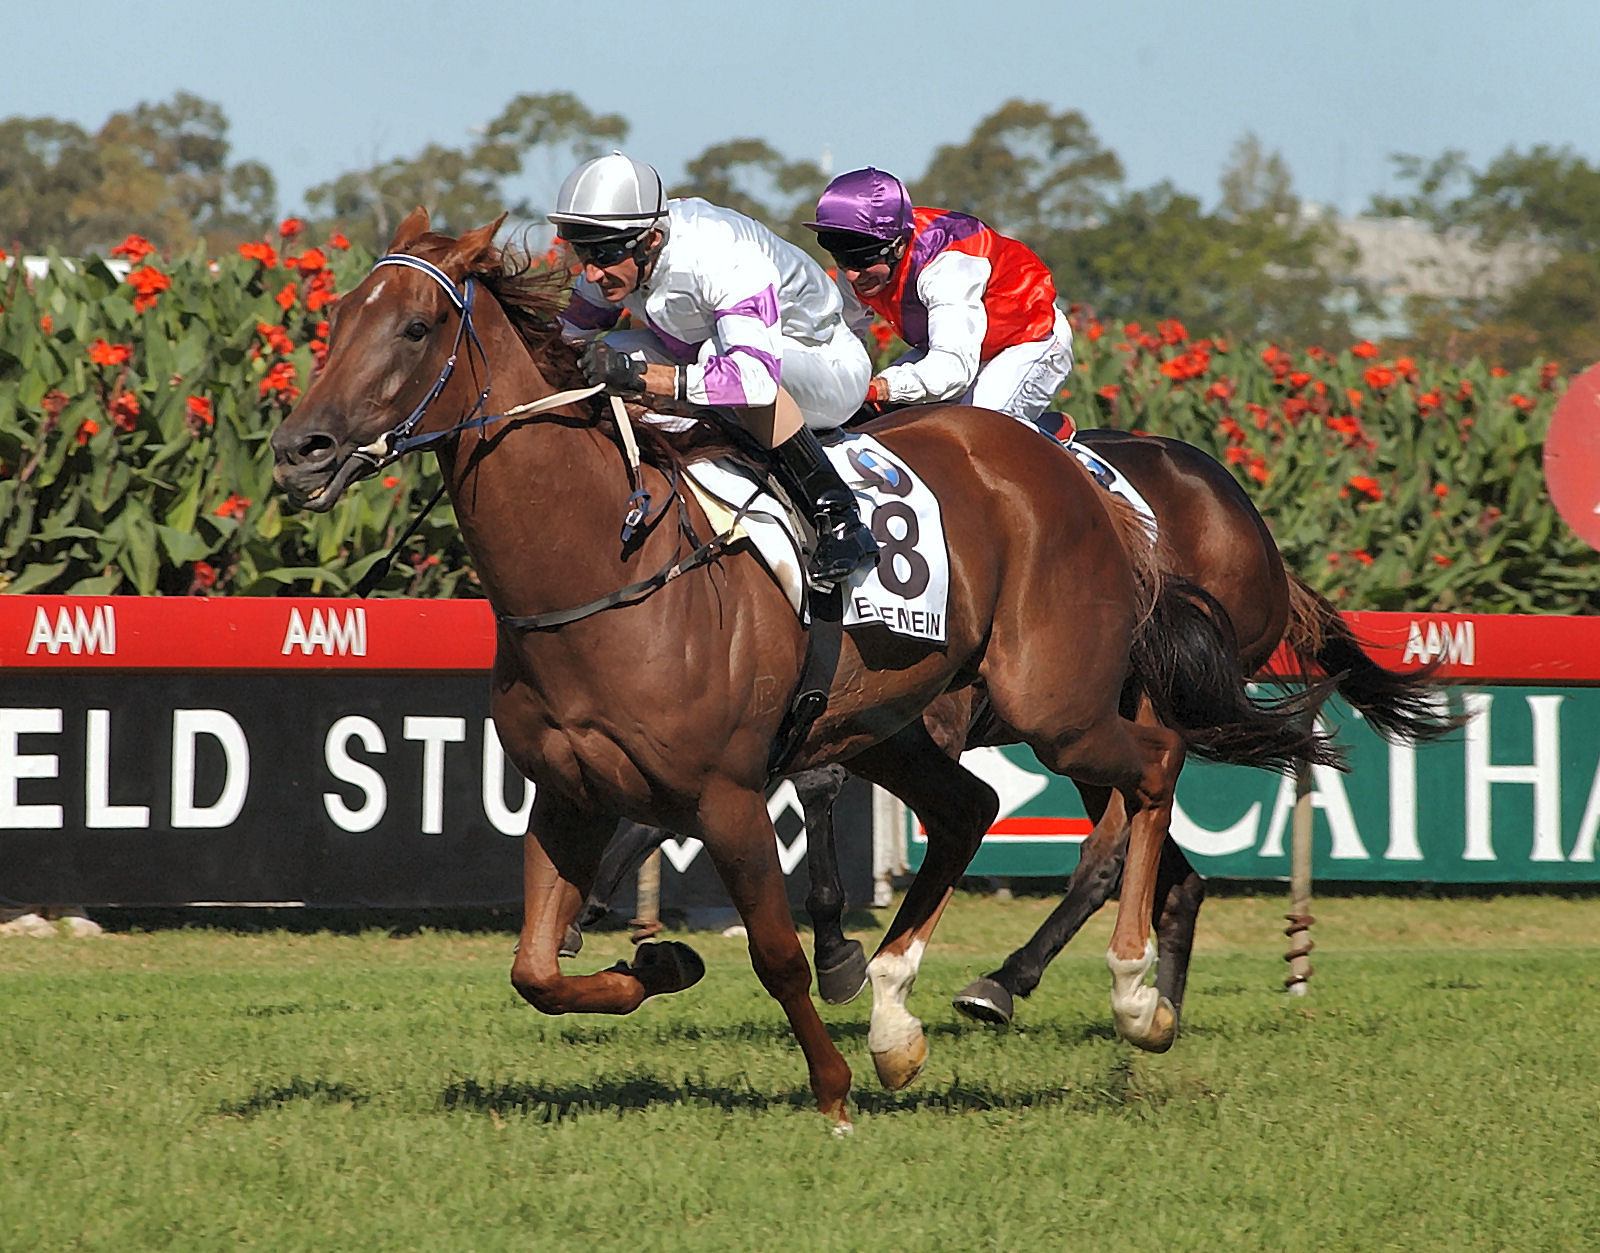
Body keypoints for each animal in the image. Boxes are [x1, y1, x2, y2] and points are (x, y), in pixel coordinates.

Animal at [272, 211, 1324, 1132]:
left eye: (414, 327)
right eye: (336, 318)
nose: (298, 450)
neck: (604, 563)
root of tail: (1083, 480)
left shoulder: (729, 791)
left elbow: (776, 953)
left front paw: (831, 1088)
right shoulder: (568, 792)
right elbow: (535, 970)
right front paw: (662, 965)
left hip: (1054, 703)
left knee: (1147, 772)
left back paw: (1126, 993)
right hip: (894, 724)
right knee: (972, 808)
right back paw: (904, 1019)